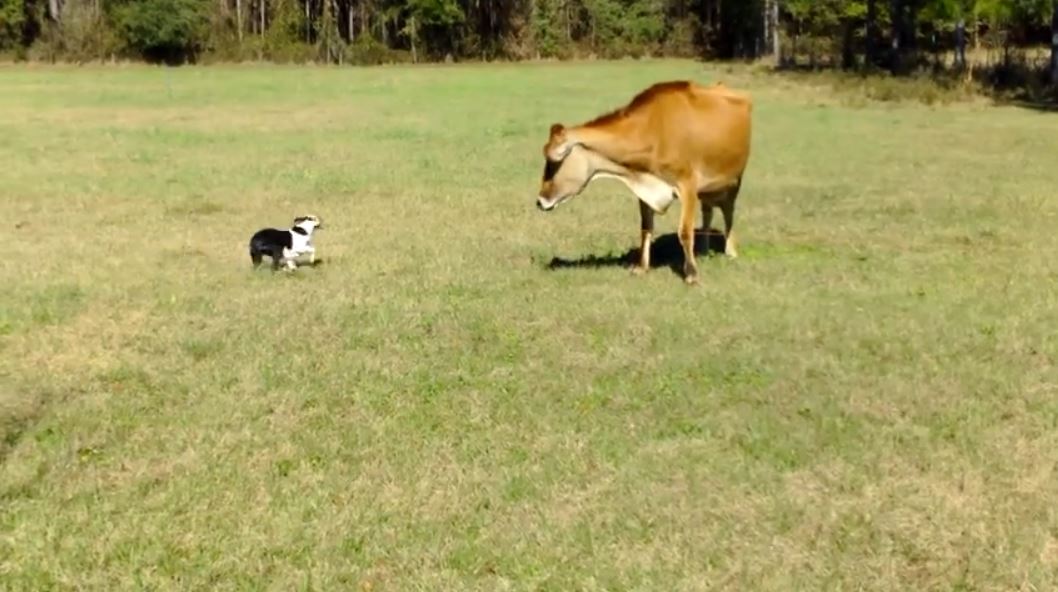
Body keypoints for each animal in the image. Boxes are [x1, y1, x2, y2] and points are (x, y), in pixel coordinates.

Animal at [536, 80, 752, 285]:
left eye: (554, 161)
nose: (540, 201)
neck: (653, 133)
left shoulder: (687, 185)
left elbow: (685, 232)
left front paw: (692, 275)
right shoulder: (644, 189)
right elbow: (646, 228)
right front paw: (642, 267)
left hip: (734, 181)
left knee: (728, 212)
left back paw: (730, 251)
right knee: (708, 213)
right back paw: (705, 250)